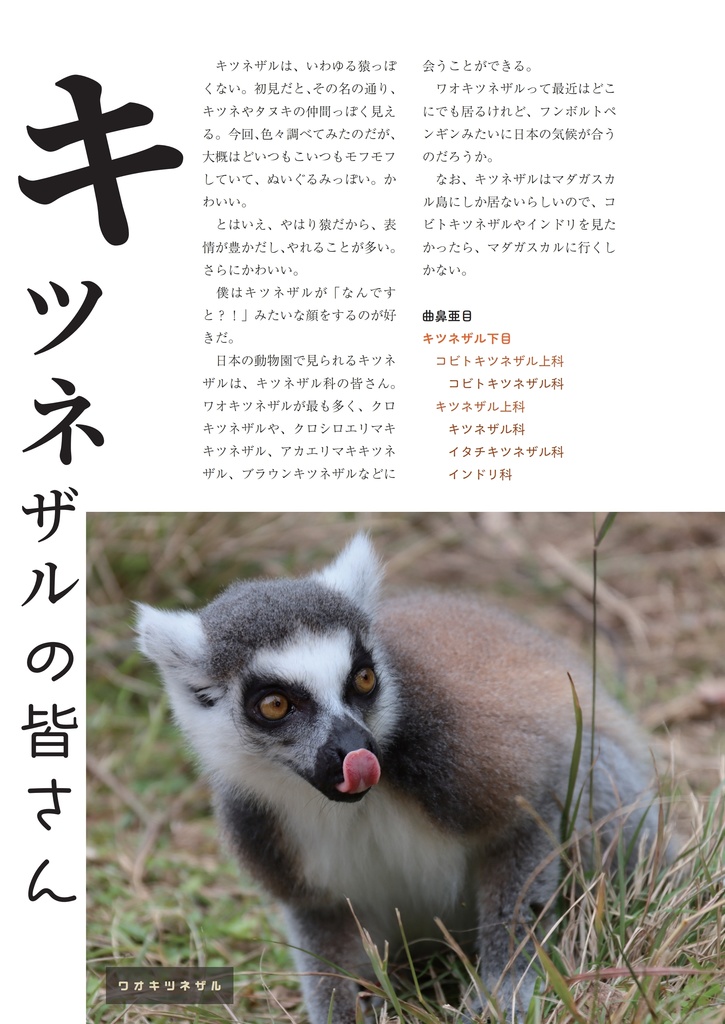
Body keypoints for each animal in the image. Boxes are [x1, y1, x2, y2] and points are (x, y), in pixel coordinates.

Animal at [136, 533, 669, 1023]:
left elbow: (530, 818)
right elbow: (322, 922)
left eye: (364, 679)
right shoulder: (258, 822)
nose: (357, 751)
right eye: (274, 705)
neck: (347, 807)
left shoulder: (454, 758)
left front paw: (506, 990)